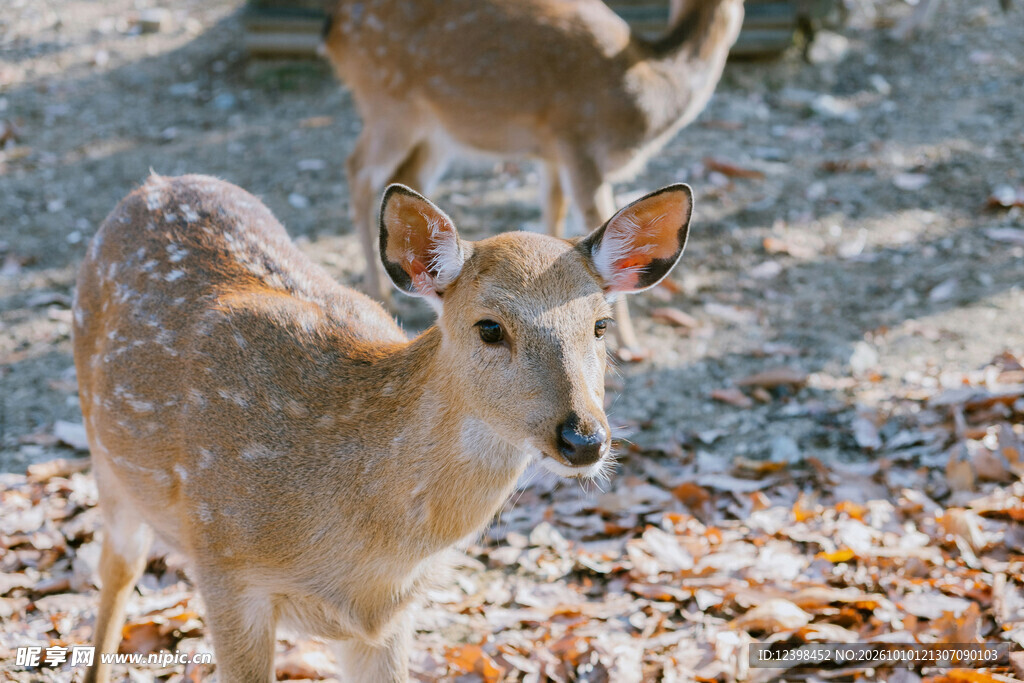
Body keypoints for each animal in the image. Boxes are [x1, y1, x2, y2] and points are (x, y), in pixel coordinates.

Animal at [72, 173, 693, 682]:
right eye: (489, 327)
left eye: (601, 325)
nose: (584, 439)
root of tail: (153, 185)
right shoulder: (225, 571)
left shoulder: (390, 619)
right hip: (109, 463)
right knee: (116, 571)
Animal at [322, 0, 742, 355]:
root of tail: (333, 28)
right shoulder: (580, 141)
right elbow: (593, 218)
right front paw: (630, 343)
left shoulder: (552, 152)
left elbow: (553, 213)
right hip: (391, 104)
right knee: (359, 170)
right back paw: (380, 291)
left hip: (436, 131)